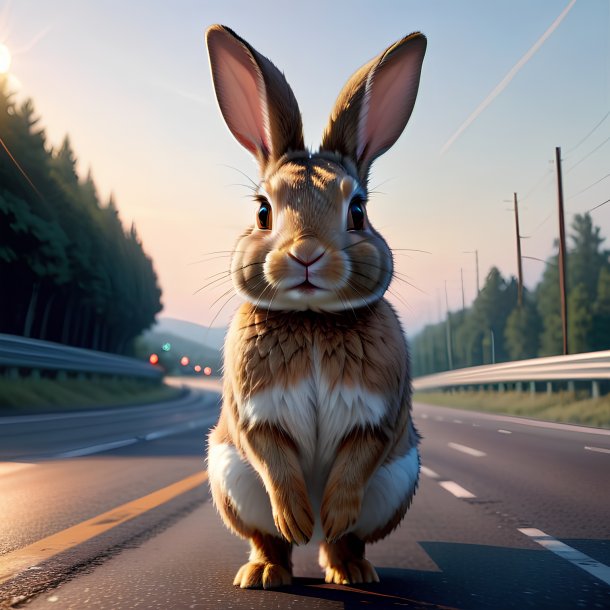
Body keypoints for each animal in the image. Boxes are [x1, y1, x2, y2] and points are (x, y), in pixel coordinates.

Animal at [203, 25, 422, 588]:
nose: (306, 253)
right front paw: (297, 517)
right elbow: (272, 456)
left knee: (345, 541)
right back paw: (268, 570)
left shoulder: (379, 417)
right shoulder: (253, 416)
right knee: (269, 539)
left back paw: (348, 567)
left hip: (397, 480)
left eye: (358, 210)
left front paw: (333, 512)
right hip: (230, 479)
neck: (313, 321)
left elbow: (356, 461)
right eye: (263, 211)